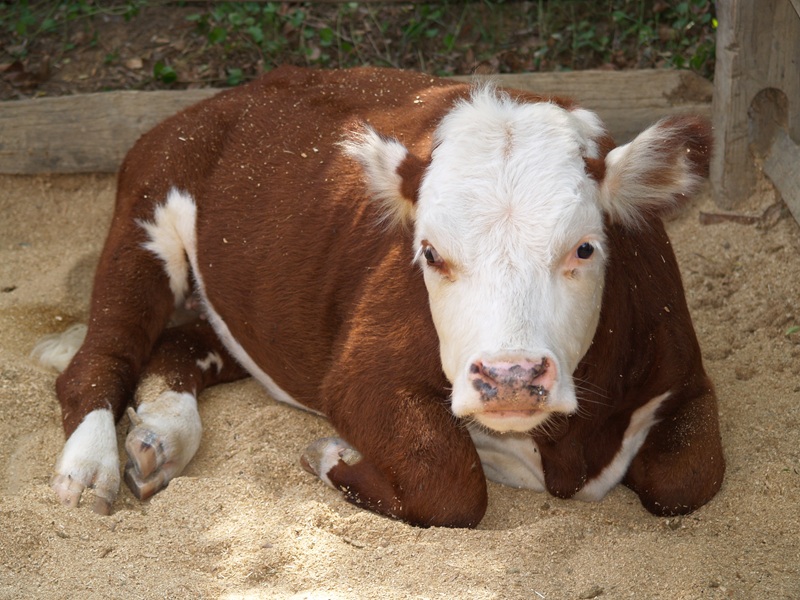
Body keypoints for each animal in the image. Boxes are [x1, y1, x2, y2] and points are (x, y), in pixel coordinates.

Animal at [35, 66, 724, 528]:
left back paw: (160, 436)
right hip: (144, 213)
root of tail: (223, 99)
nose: (510, 376)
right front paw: (332, 453)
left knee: (181, 343)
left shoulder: (685, 370)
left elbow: (687, 478)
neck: (565, 449)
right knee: (101, 357)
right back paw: (92, 467)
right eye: (430, 253)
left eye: (584, 248)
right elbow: (449, 484)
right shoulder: (360, 377)